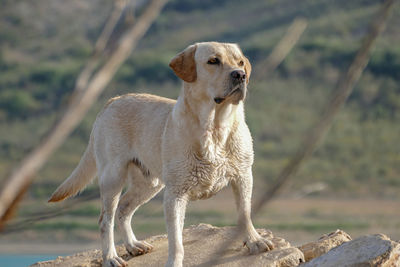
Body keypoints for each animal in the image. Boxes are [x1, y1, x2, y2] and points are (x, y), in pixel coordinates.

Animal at [49, 42, 276, 267]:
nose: (240, 75)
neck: (214, 127)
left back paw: (133, 245)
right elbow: (176, 241)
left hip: (150, 183)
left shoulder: (243, 175)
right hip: (113, 177)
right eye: (213, 61)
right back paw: (111, 257)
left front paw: (254, 241)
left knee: (124, 209)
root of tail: (113, 100)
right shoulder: (175, 194)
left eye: (240, 62)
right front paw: (174, 262)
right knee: (106, 219)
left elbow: (244, 214)